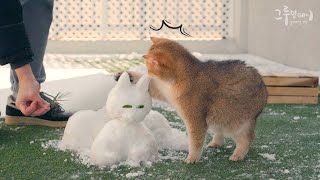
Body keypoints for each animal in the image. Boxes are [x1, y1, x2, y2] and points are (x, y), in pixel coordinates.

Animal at [117, 36, 268, 163]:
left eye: (149, 67)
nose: (148, 73)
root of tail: (264, 88)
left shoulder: (195, 120)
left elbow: (195, 141)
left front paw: (192, 158)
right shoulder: (162, 91)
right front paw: (127, 74)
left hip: (234, 122)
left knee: (247, 139)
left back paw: (238, 154)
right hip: (218, 119)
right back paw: (216, 143)